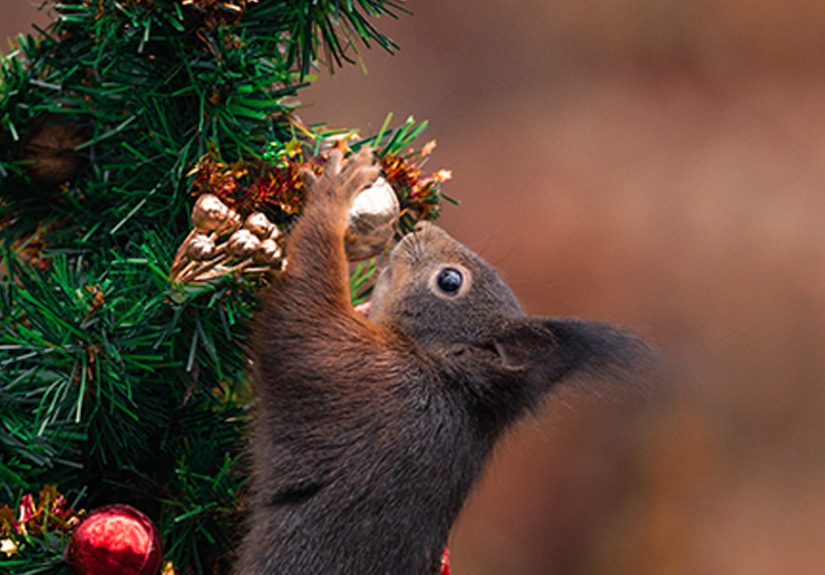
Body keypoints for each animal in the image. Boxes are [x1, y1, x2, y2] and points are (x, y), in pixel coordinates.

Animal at [235, 147, 652, 574]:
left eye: (450, 281)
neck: (443, 374)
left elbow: (301, 307)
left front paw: (335, 193)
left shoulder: (355, 371)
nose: (420, 228)